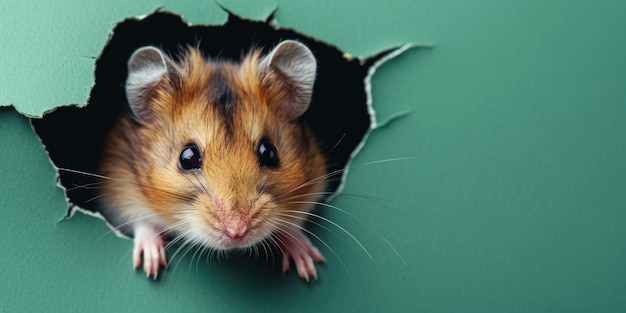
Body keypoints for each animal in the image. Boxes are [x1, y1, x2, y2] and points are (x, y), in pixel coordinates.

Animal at [97, 39, 326, 280]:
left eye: (269, 153)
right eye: (187, 157)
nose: (236, 233)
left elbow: (293, 224)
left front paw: (309, 266)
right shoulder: (118, 189)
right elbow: (142, 222)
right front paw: (151, 267)